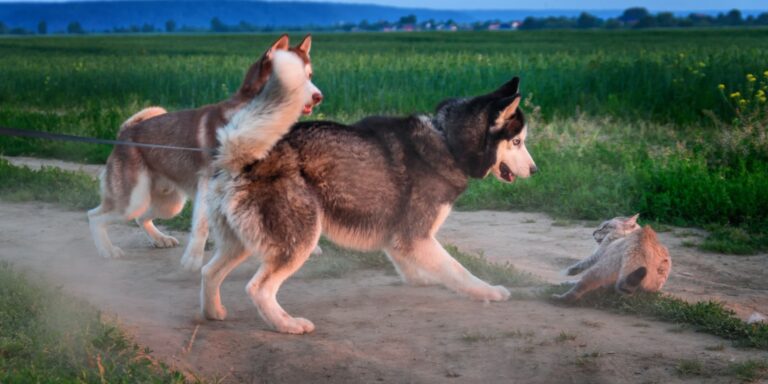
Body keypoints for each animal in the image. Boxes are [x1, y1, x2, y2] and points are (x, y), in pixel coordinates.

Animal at [88, 35, 322, 270]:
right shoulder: (208, 185)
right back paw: (107, 249)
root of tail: (125, 132)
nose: (318, 96)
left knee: (140, 217)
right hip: (133, 201)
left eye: (310, 75)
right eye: (295, 76)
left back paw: (159, 239)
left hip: (169, 204)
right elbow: (201, 227)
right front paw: (192, 260)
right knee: (94, 216)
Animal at [204, 76, 536, 332]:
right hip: (300, 238)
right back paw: (287, 324)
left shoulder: (401, 238)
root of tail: (239, 158)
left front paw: (423, 278)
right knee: (258, 289)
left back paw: (213, 312)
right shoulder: (417, 236)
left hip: (241, 242)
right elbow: (457, 270)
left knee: (209, 271)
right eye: (517, 141)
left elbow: (414, 266)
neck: (447, 141)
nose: (535, 170)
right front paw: (488, 291)